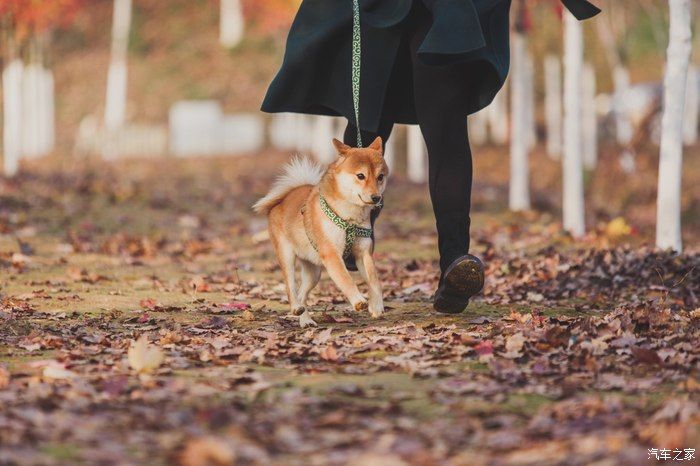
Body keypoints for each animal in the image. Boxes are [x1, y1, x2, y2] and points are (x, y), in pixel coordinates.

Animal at [254, 138, 388, 328]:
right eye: (361, 176)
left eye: (380, 177)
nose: (376, 198)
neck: (350, 218)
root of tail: (283, 199)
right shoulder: (331, 254)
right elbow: (346, 279)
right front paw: (358, 300)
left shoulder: (363, 253)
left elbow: (374, 280)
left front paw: (376, 306)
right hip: (287, 255)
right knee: (290, 287)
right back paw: (296, 308)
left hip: (314, 272)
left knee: (302, 293)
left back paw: (305, 319)